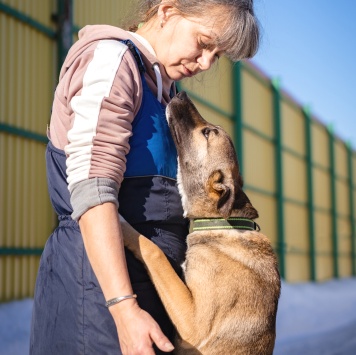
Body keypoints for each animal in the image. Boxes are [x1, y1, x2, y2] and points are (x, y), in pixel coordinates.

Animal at [120, 90, 280, 354]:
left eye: (207, 132)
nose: (182, 94)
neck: (217, 222)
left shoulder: (192, 322)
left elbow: (154, 252)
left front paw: (123, 225)